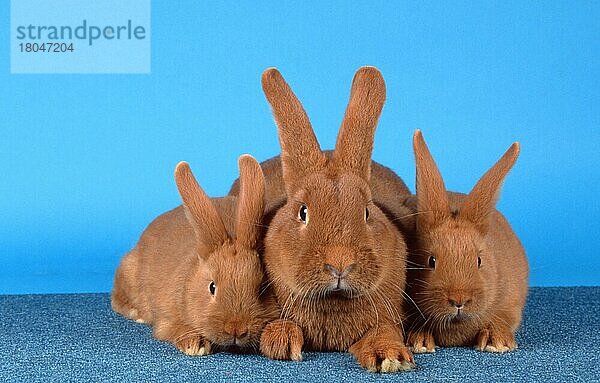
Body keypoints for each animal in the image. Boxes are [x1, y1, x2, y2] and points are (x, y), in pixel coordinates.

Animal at [110, 154, 278, 356]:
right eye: (212, 287)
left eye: (261, 289)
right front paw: (195, 345)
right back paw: (137, 314)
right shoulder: (167, 320)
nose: (236, 329)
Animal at [255, 67, 414, 374]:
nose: (340, 264)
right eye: (303, 212)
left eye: (367, 211)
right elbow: (280, 324)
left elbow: (383, 331)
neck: (333, 300)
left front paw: (390, 357)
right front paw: (282, 343)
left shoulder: (387, 317)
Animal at [406, 131, 528, 354]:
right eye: (431, 261)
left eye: (479, 261)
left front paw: (496, 342)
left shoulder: (511, 304)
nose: (459, 300)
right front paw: (419, 341)